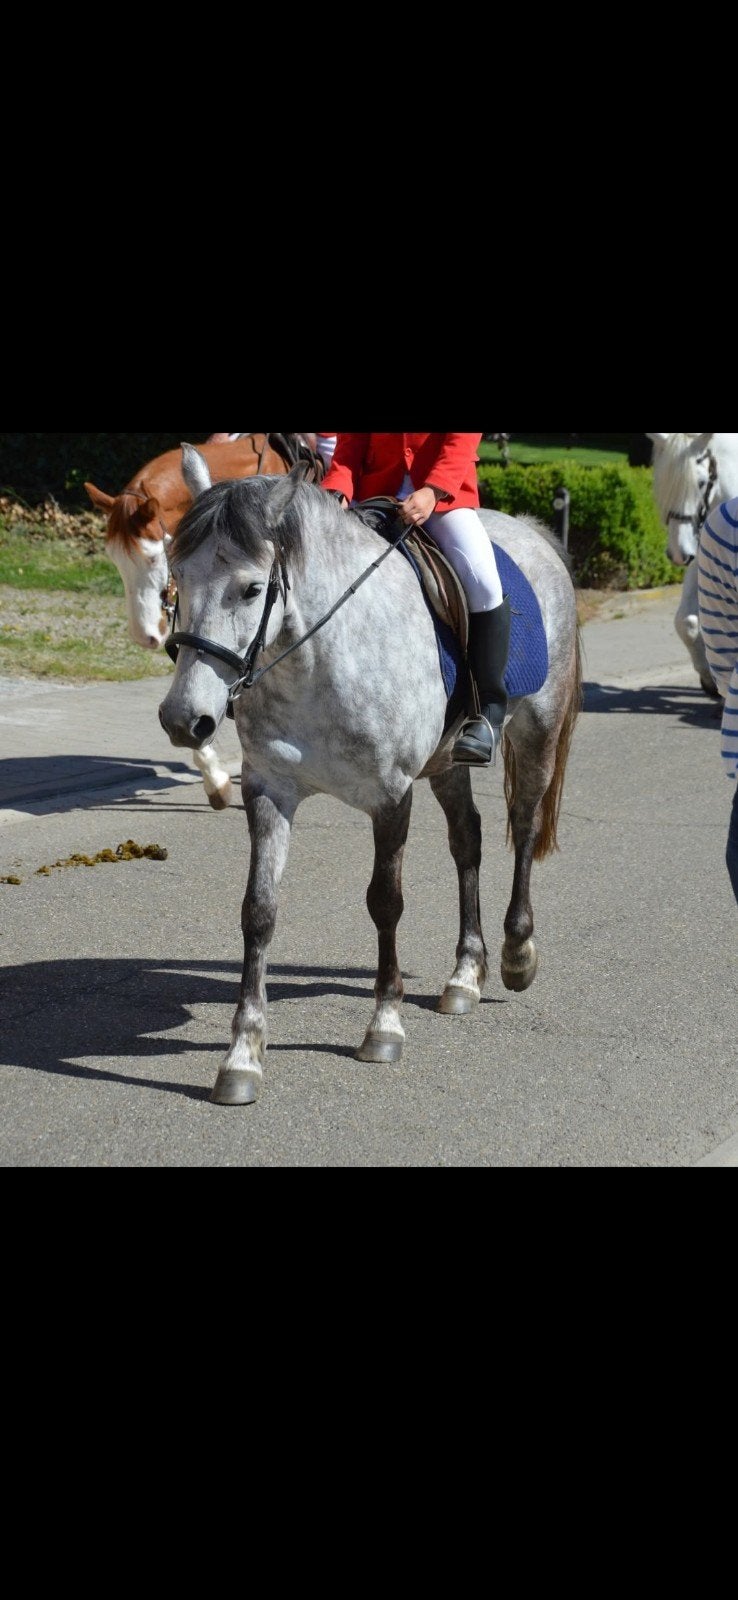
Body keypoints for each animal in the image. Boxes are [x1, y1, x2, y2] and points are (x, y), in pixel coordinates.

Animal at [157, 444, 582, 1107]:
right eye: (176, 579)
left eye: (251, 588)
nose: (184, 719)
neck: (314, 658)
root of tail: (531, 531)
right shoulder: (269, 790)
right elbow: (259, 910)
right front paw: (242, 1055)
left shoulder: (390, 795)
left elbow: (385, 902)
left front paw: (384, 1025)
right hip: (446, 764)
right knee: (468, 840)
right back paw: (466, 973)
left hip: (536, 730)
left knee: (522, 827)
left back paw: (516, 953)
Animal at [646, 432, 738, 699]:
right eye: (662, 481)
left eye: (701, 482)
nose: (678, 554)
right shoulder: (701, 559)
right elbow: (685, 622)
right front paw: (708, 679)